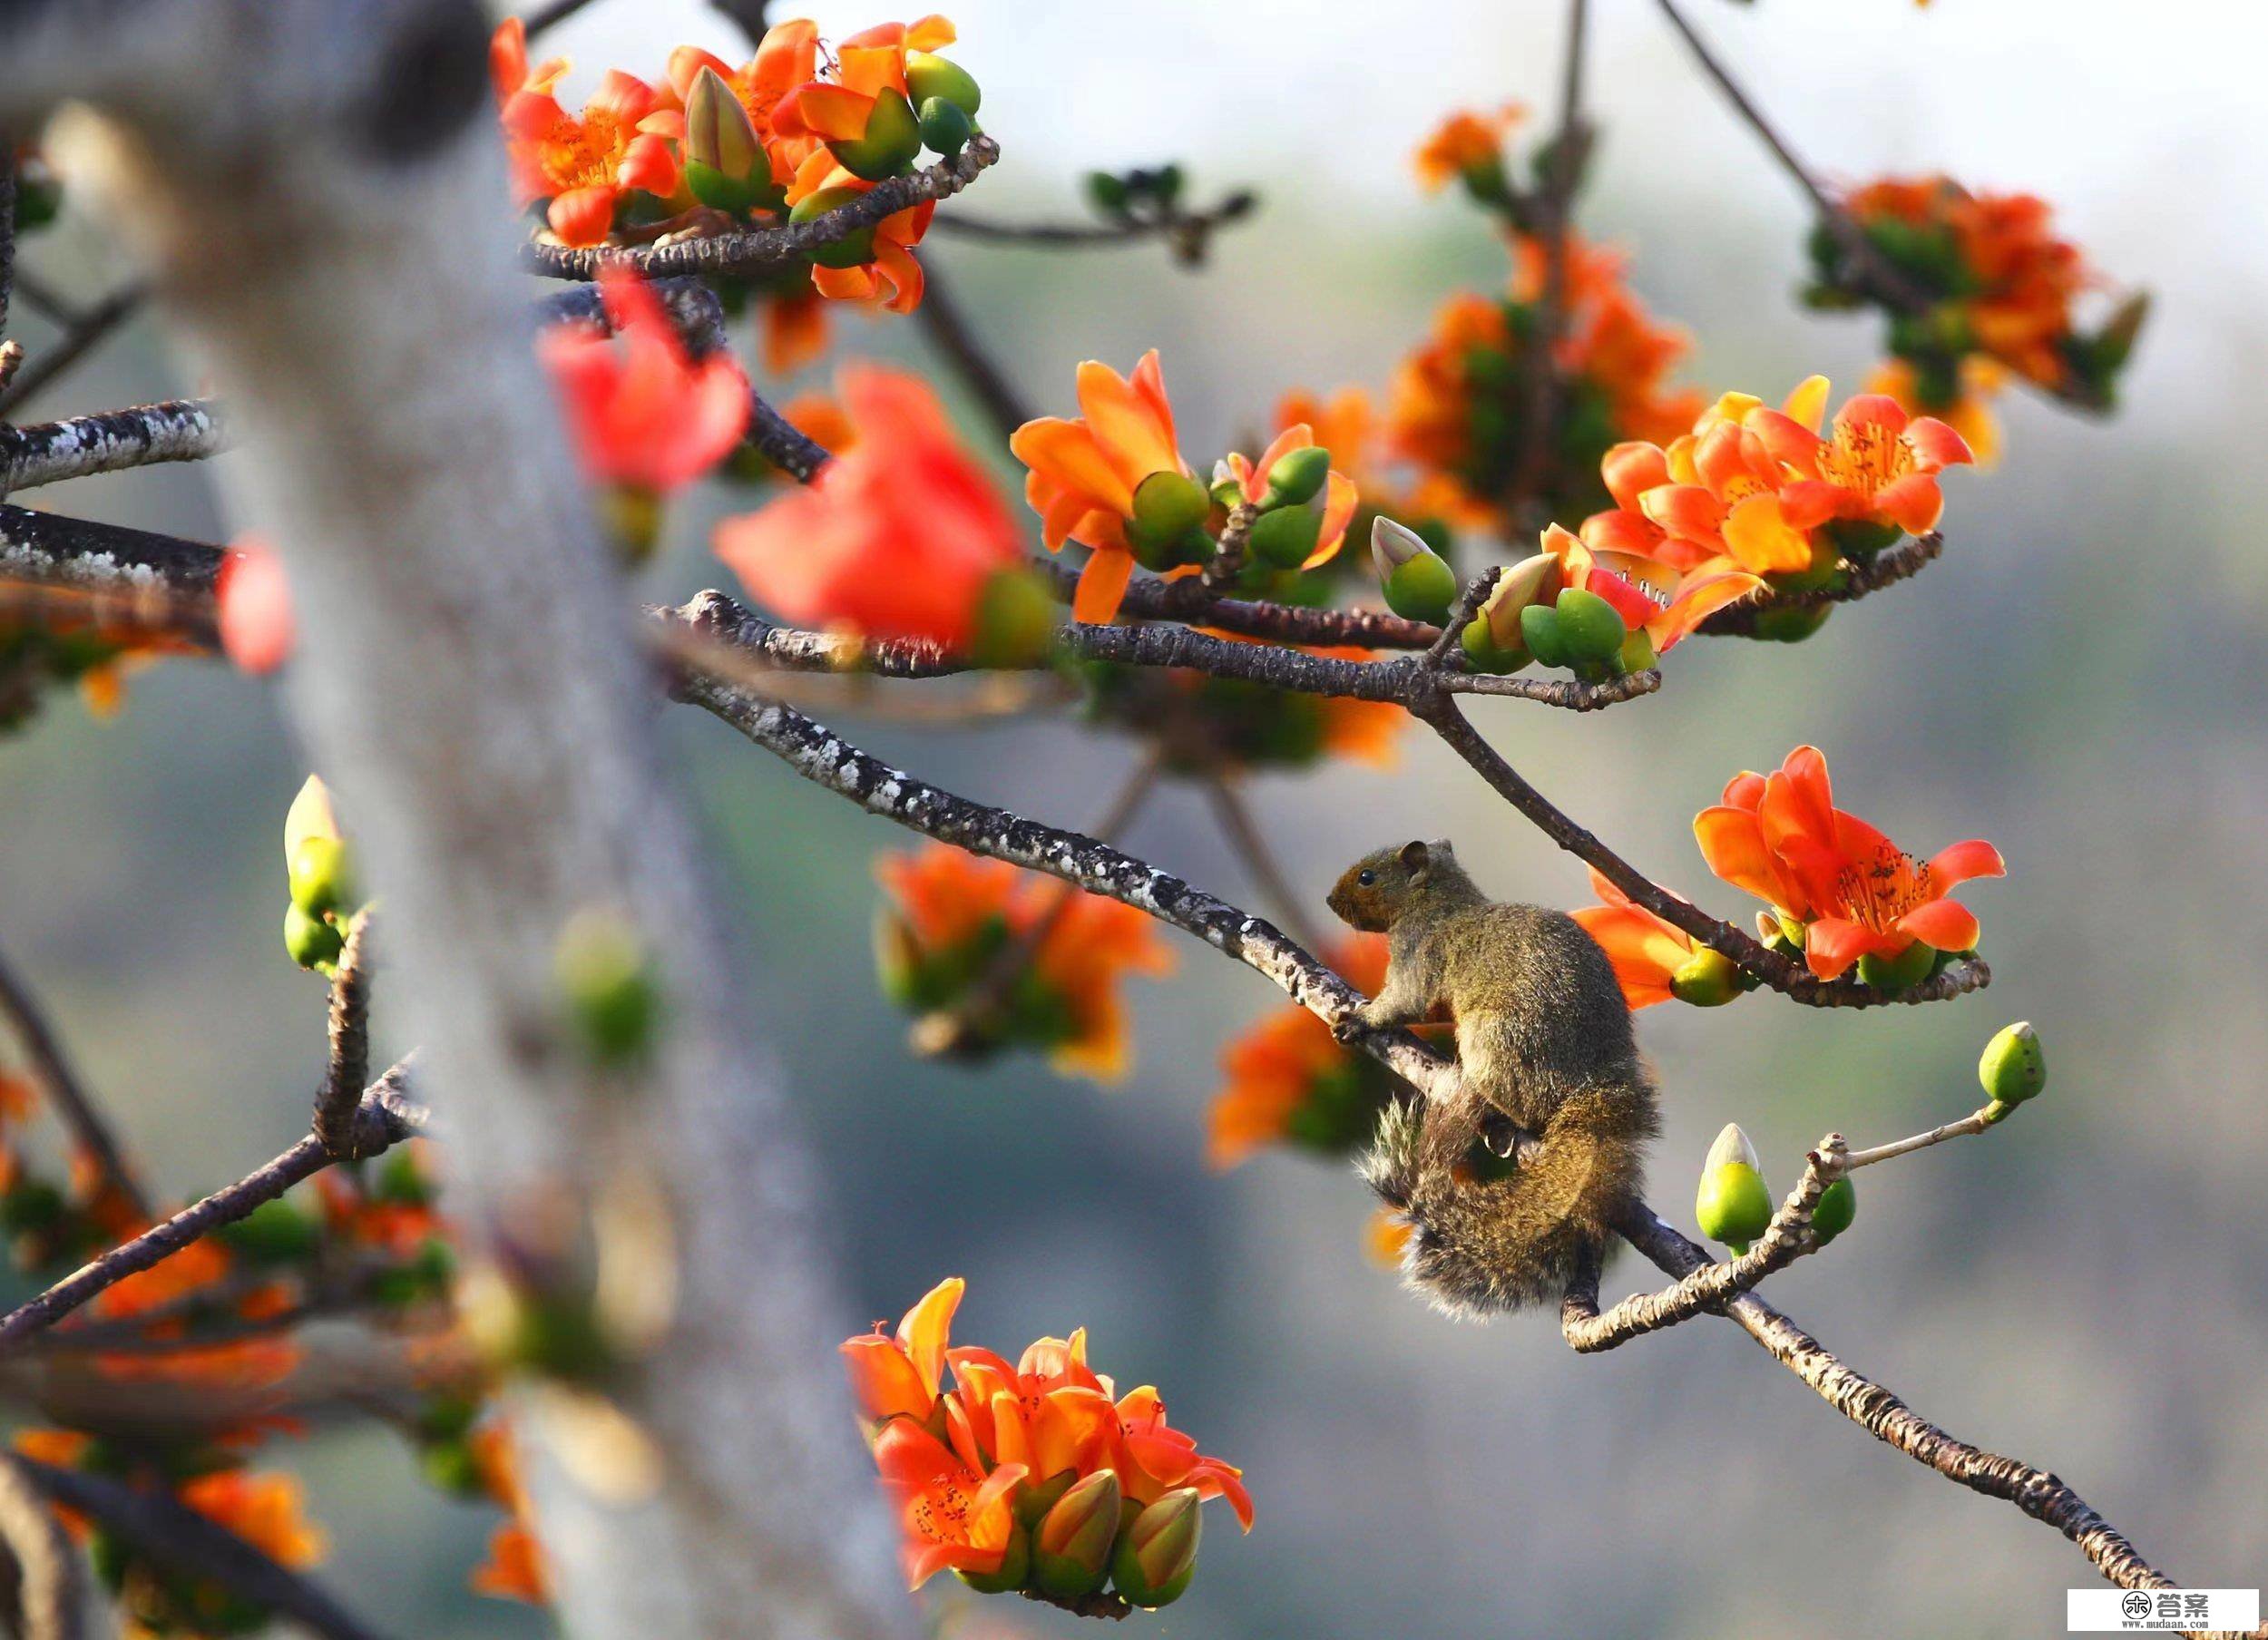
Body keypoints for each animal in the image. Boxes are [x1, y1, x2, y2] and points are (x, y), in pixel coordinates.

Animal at [1325, 839, 1660, 1315]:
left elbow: (1404, 1002)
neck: (1436, 902)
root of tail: (1593, 1089)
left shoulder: (1418, 956)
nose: (1329, 901)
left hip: (1496, 1044)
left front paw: (1361, 1019)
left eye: (1367, 877)